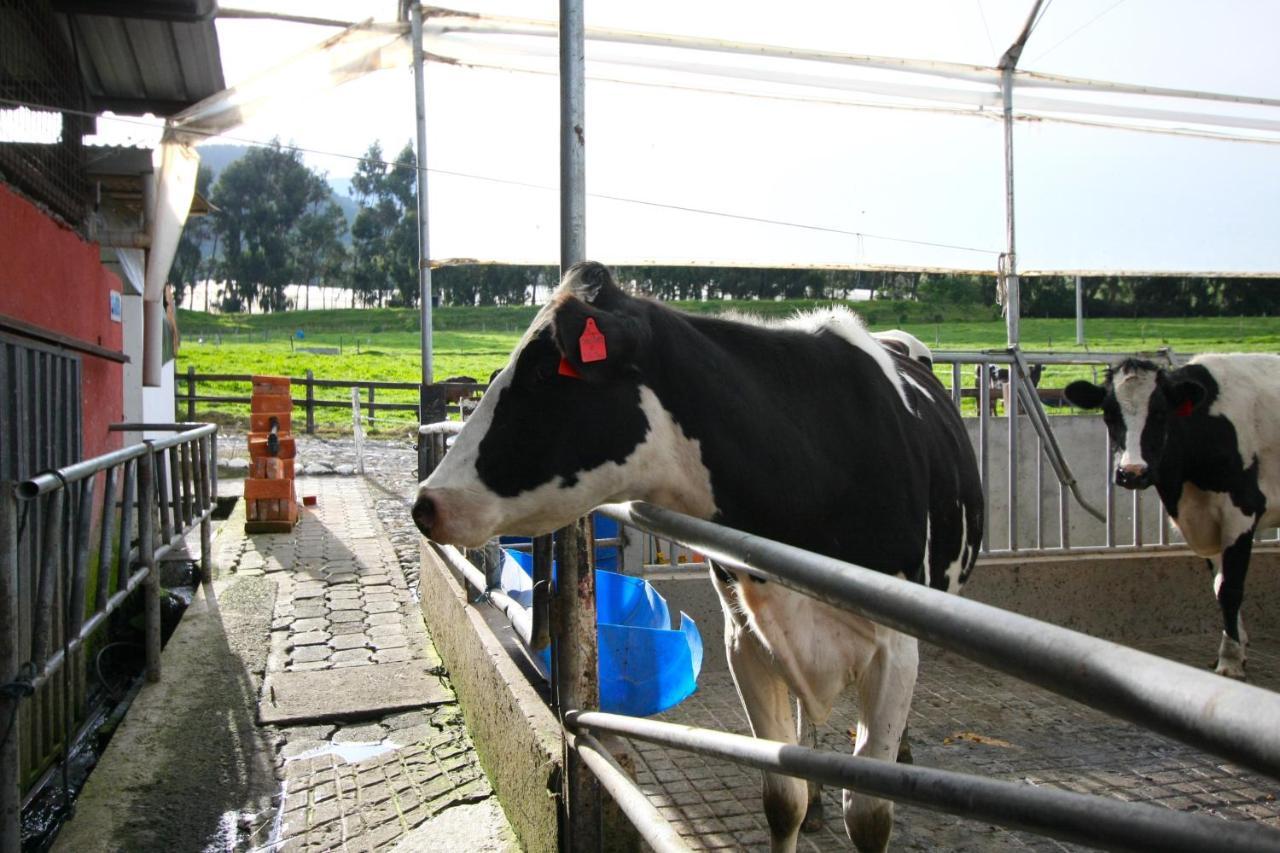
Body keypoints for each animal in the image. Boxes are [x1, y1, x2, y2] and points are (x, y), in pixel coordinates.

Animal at [414, 262, 983, 845]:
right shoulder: (747, 640)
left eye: (546, 374)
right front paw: (803, 799)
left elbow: (869, 818)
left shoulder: (891, 649)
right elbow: (783, 800)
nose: (426, 502)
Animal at [1059, 356, 1280, 681]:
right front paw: (1237, 645)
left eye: (1161, 414)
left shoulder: (1240, 512)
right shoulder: (1204, 522)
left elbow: (1230, 588)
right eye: (1109, 414)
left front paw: (1229, 659)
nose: (1132, 472)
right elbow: (1219, 584)